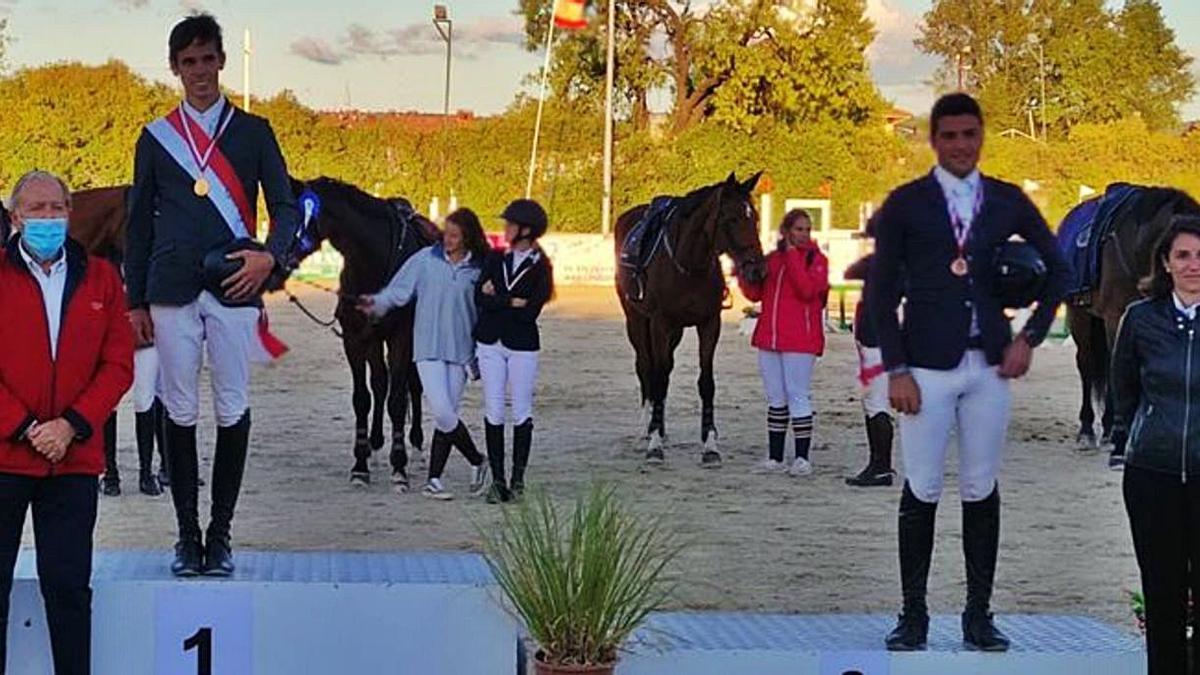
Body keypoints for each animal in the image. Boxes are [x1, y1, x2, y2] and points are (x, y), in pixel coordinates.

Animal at [283, 176, 439, 485]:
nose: (280, 256)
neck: (373, 261)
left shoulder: (401, 337)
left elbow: (397, 400)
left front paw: (399, 467)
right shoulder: (355, 339)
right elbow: (362, 398)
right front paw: (360, 464)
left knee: (412, 386)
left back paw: (415, 447)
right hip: (374, 341)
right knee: (380, 383)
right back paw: (376, 446)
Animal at [614, 170, 763, 466]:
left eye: (755, 217)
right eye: (732, 218)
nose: (757, 270)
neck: (690, 264)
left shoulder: (709, 324)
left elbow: (706, 383)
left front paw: (710, 445)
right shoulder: (660, 324)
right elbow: (658, 379)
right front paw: (655, 445)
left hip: (676, 331)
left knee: (664, 369)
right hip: (636, 321)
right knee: (647, 367)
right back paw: (647, 428)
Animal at [1070, 186, 1200, 454]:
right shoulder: (1115, 316)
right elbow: (1114, 364)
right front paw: (1114, 429)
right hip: (1080, 316)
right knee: (1086, 364)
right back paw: (1087, 429)